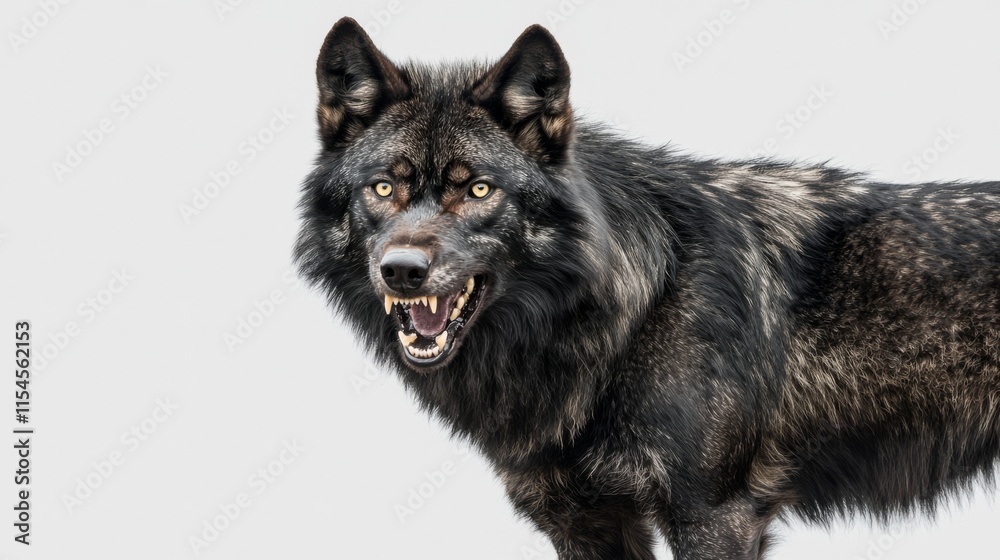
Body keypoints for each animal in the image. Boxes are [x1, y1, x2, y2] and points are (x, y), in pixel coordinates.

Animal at [295, 17, 1000, 559]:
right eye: (384, 187)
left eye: (478, 189)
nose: (402, 270)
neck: (628, 313)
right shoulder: (585, 523)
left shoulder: (714, 517)